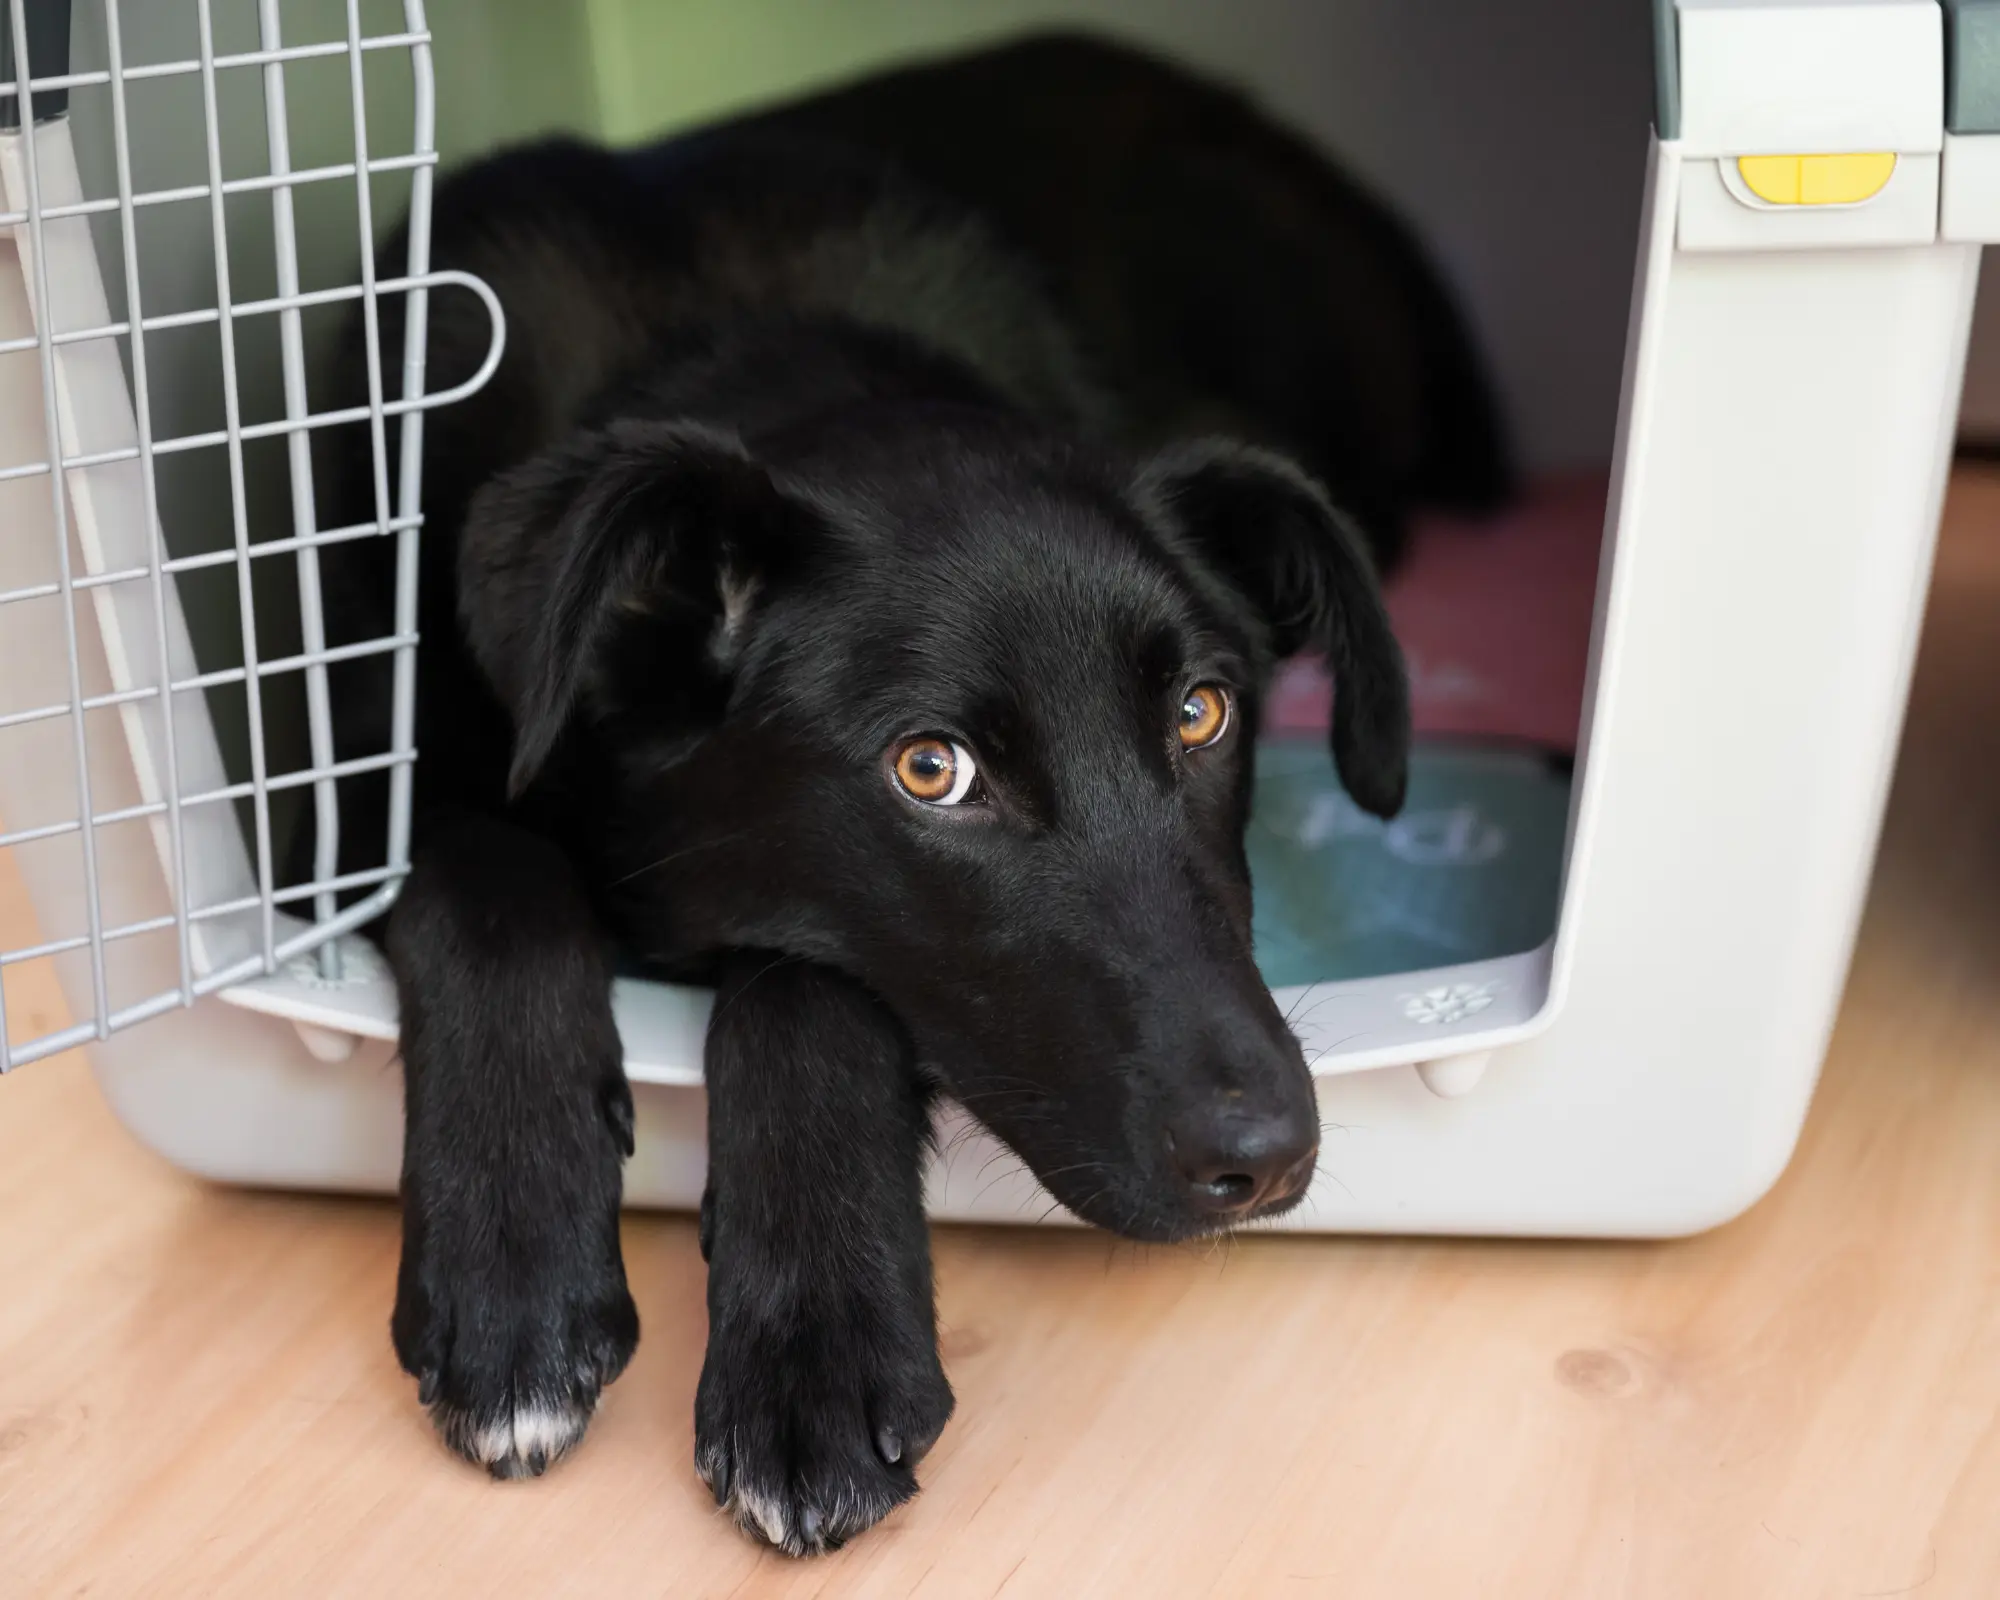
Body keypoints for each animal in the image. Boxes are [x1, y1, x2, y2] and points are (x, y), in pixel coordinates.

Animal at [308, 28, 1504, 1552]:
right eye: (931, 770)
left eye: (1201, 711)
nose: (1267, 1153)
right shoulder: (330, 789)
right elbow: (486, 878)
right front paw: (512, 1262)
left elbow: (810, 987)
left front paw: (814, 1354)